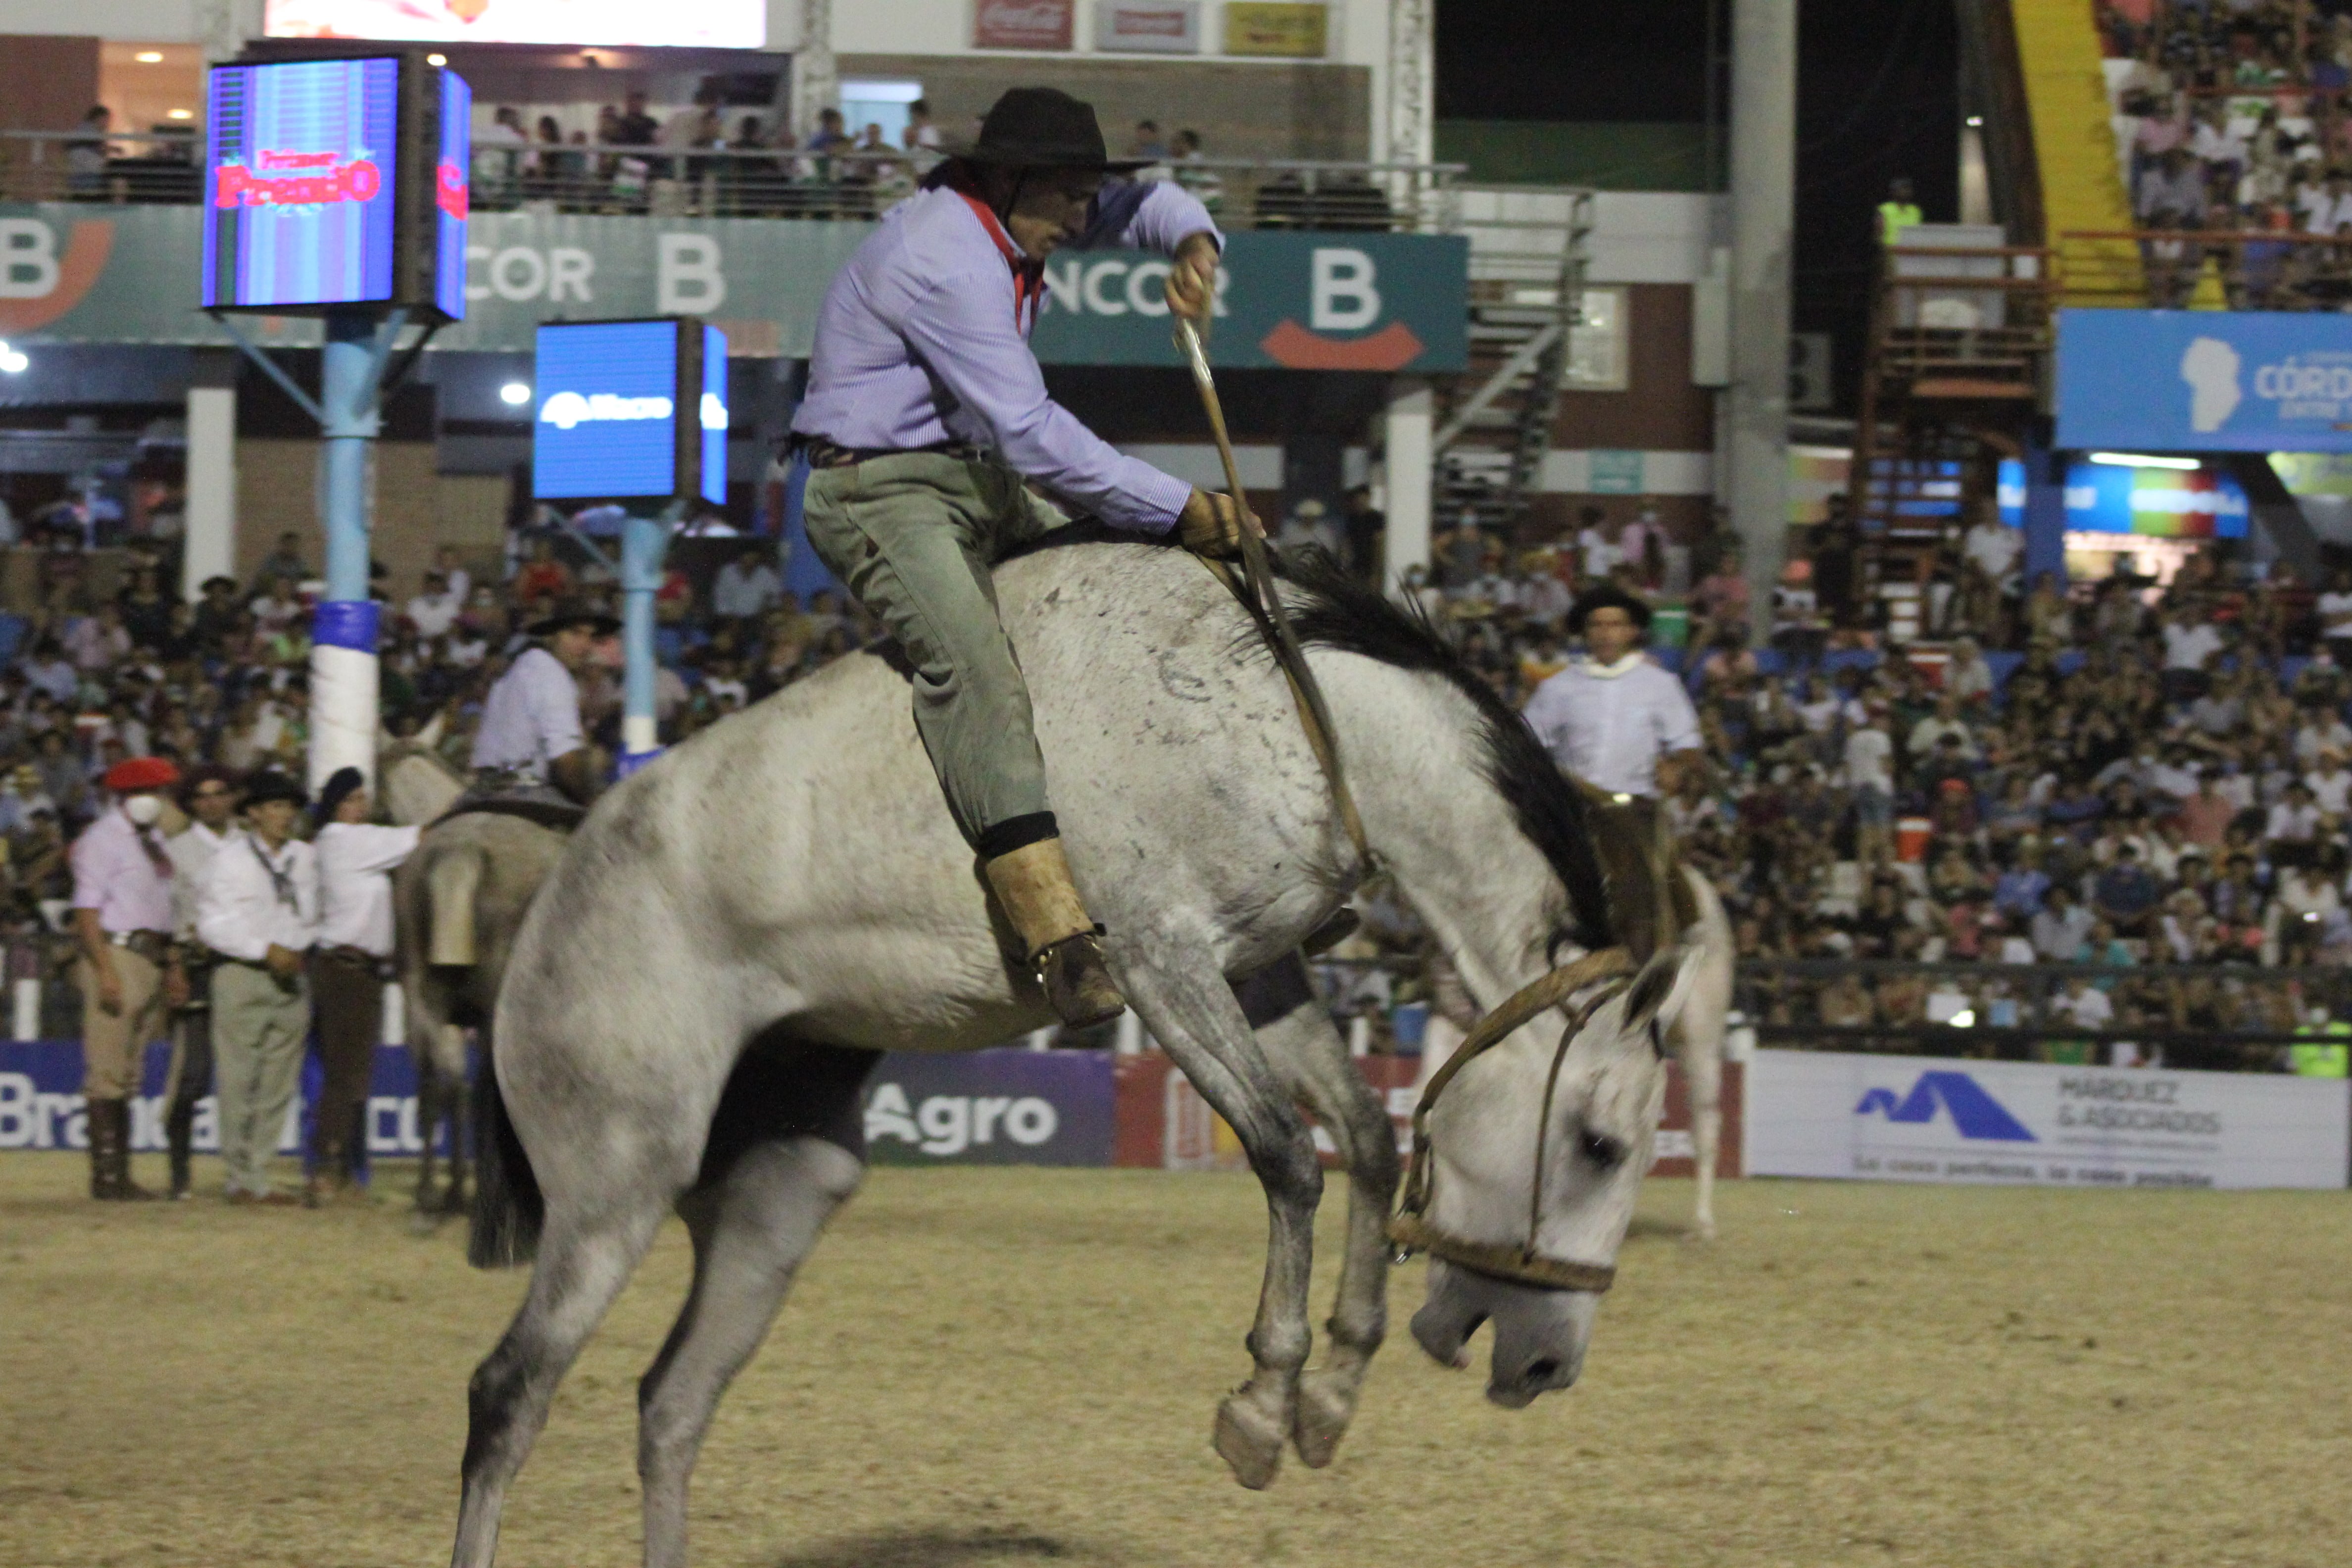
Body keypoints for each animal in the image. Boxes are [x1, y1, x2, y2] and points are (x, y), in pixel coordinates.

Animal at [444, 540, 1731, 1568]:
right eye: (1600, 1142)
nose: (1548, 1367)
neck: (1295, 707)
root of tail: (559, 878)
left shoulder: (1257, 968)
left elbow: (1363, 1137)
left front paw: (1328, 1394)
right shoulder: (1160, 962)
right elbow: (1285, 1156)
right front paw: (1262, 1402)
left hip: (781, 1188)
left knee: (672, 1403)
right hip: (615, 1179)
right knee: (509, 1391)